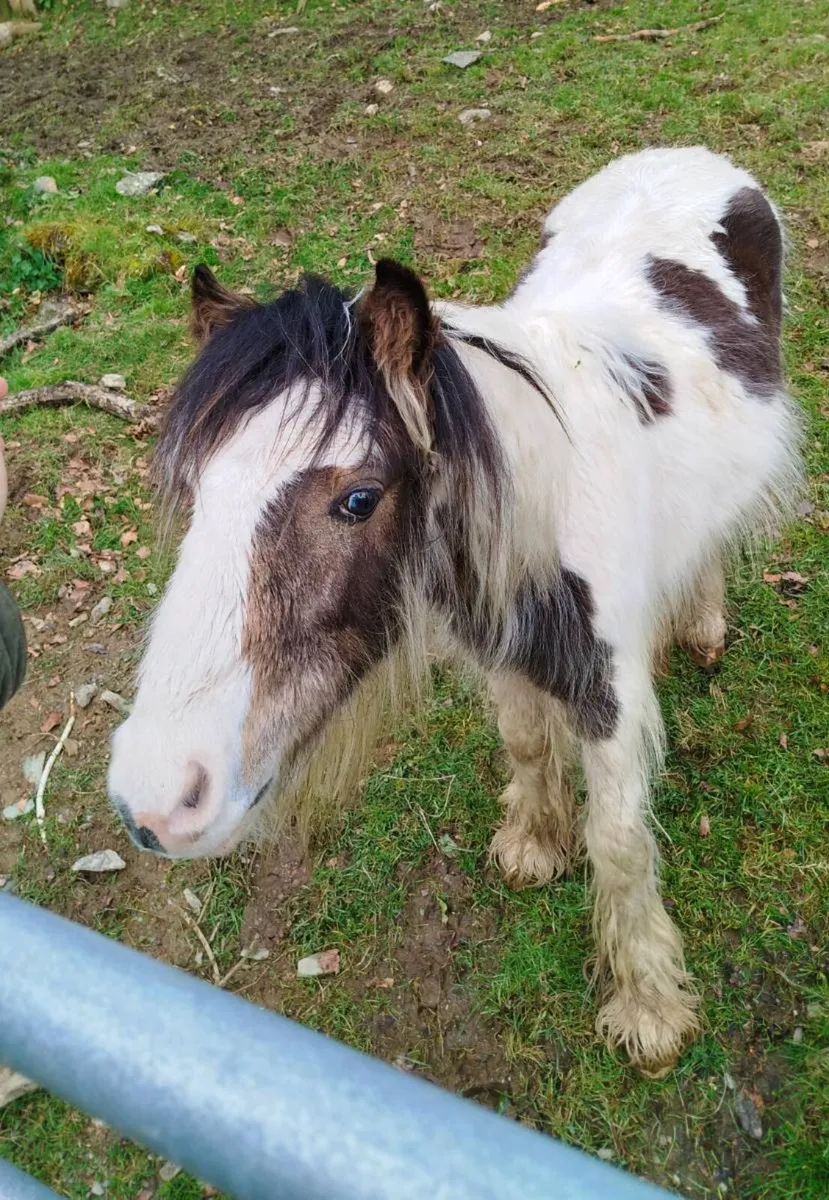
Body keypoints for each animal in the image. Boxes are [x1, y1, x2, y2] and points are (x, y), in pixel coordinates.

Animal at [108, 146, 801, 1077]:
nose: (152, 801)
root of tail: (692, 157)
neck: (542, 509)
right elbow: (525, 744)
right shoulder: (499, 648)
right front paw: (533, 846)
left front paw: (649, 1010)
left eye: (359, 500)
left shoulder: (609, 698)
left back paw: (699, 624)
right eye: (194, 490)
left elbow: (619, 840)